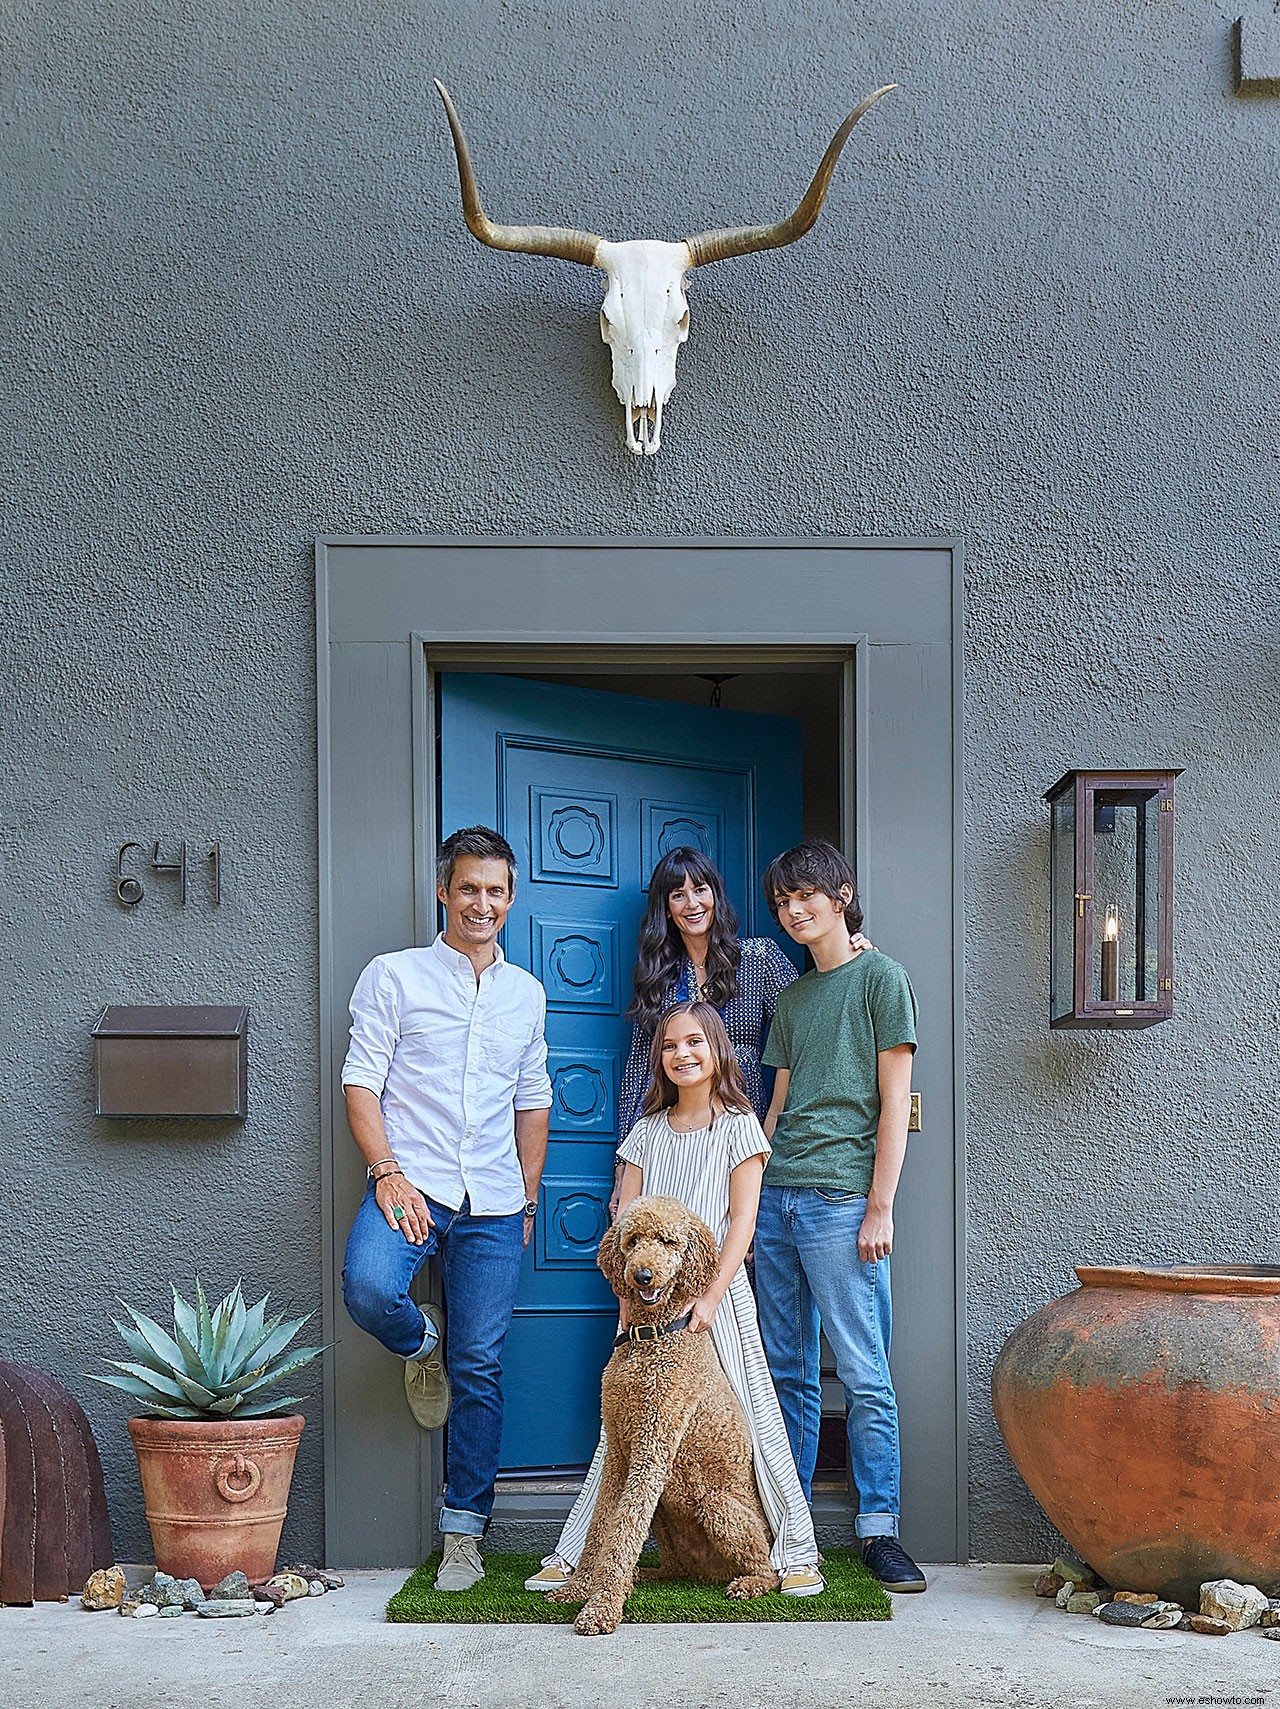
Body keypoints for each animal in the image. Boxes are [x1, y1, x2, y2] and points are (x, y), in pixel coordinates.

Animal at [543, 1196, 772, 1633]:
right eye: (633, 1240)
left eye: (668, 1241)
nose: (643, 1275)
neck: (652, 1338)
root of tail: (705, 1573)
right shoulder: (618, 1451)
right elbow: (603, 1527)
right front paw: (579, 1588)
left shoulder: (651, 1451)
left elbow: (623, 1534)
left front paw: (600, 1608)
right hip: (667, 1510)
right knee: (673, 1567)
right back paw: (645, 1574)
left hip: (720, 1507)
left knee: (764, 1566)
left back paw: (750, 1583)